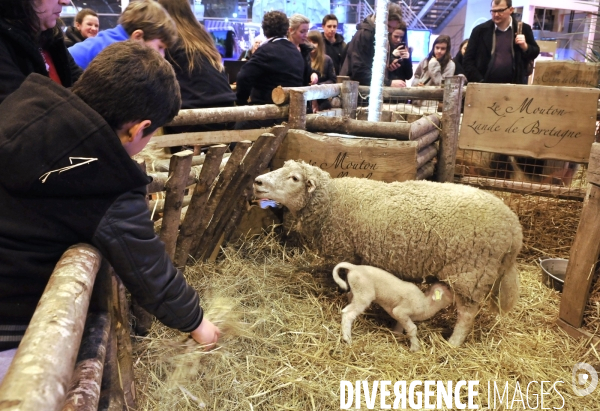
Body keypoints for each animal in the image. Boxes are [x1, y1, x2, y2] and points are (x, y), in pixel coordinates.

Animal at [255, 159, 524, 346]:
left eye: (294, 178)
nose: (257, 182)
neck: (332, 201)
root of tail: (515, 229)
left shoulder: (346, 251)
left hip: (470, 272)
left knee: (467, 315)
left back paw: (453, 344)